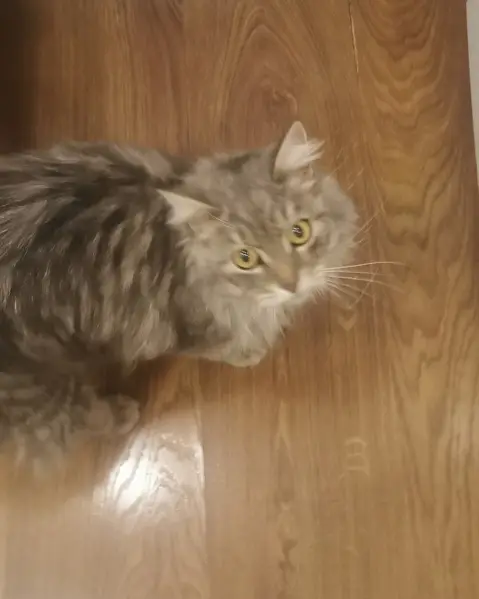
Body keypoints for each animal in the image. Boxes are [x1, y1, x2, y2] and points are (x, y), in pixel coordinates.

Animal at [0, 121, 358, 463]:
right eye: (245, 258)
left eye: (299, 232)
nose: (291, 283)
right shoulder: (185, 327)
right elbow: (223, 347)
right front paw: (250, 353)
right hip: (41, 392)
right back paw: (121, 413)